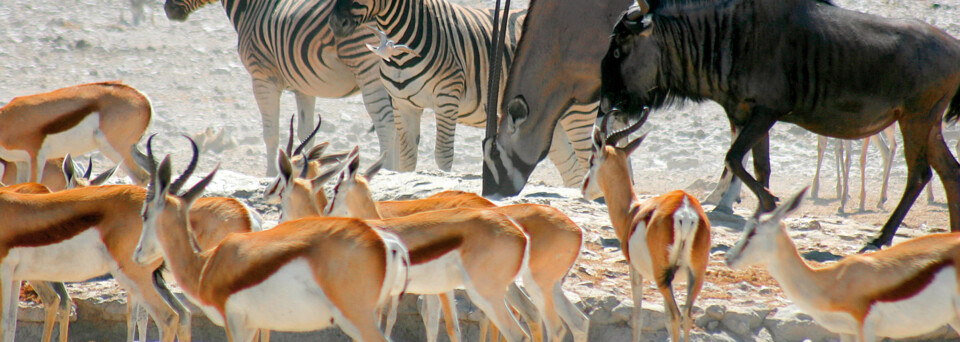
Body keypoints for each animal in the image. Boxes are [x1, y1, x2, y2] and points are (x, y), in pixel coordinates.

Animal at [0, 81, 152, 186]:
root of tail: (143, 98)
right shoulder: (20, 161)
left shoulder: (37, 157)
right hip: (129, 149)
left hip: (114, 148)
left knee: (142, 177)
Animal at [163, 0, 404, 176]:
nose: (168, 9)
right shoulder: (305, 86)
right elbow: (307, 133)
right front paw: (306, 166)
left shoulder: (262, 77)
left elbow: (271, 133)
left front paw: (271, 174)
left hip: (366, 67)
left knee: (385, 123)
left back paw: (387, 170)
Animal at [332, 0, 600, 187]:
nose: (335, 24)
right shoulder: (403, 104)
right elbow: (407, 160)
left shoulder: (447, 97)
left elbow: (443, 155)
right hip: (545, 120)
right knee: (571, 168)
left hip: (578, 112)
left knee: (585, 157)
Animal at [576, 108, 712, 340]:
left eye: (592, 161)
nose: (584, 189)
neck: (632, 212)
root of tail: (685, 212)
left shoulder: (635, 270)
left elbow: (638, 317)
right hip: (695, 275)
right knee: (686, 316)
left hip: (661, 276)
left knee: (675, 316)